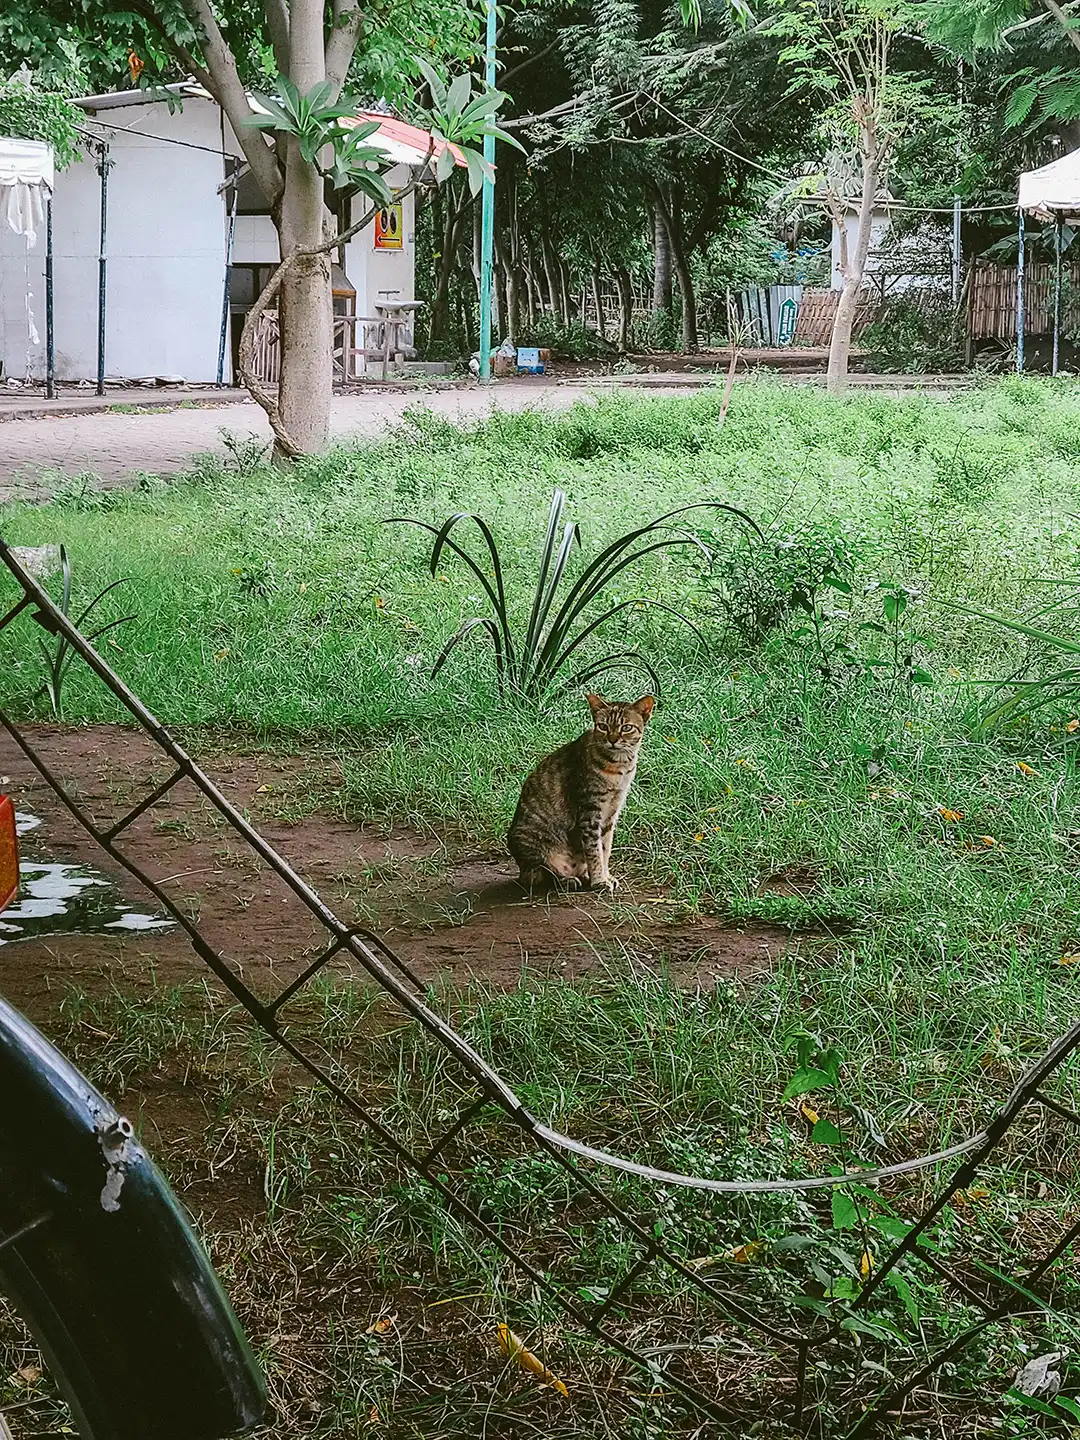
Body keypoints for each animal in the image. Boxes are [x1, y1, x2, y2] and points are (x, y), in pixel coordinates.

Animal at [509, 694, 656, 887]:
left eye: (626, 727)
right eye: (603, 726)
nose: (612, 739)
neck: (620, 766)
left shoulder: (612, 812)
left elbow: (605, 849)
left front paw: (606, 875)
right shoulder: (590, 812)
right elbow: (594, 851)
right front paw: (599, 880)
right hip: (531, 845)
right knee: (540, 875)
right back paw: (568, 879)